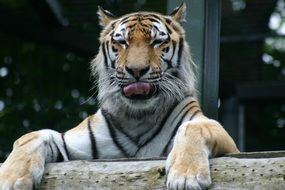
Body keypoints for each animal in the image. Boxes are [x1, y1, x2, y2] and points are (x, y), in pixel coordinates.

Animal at [0, 3, 239, 190]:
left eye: (157, 42)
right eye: (122, 42)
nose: (136, 70)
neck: (139, 116)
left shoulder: (223, 140)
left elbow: (192, 128)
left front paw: (186, 176)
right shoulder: (74, 145)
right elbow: (33, 136)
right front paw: (9, 179)